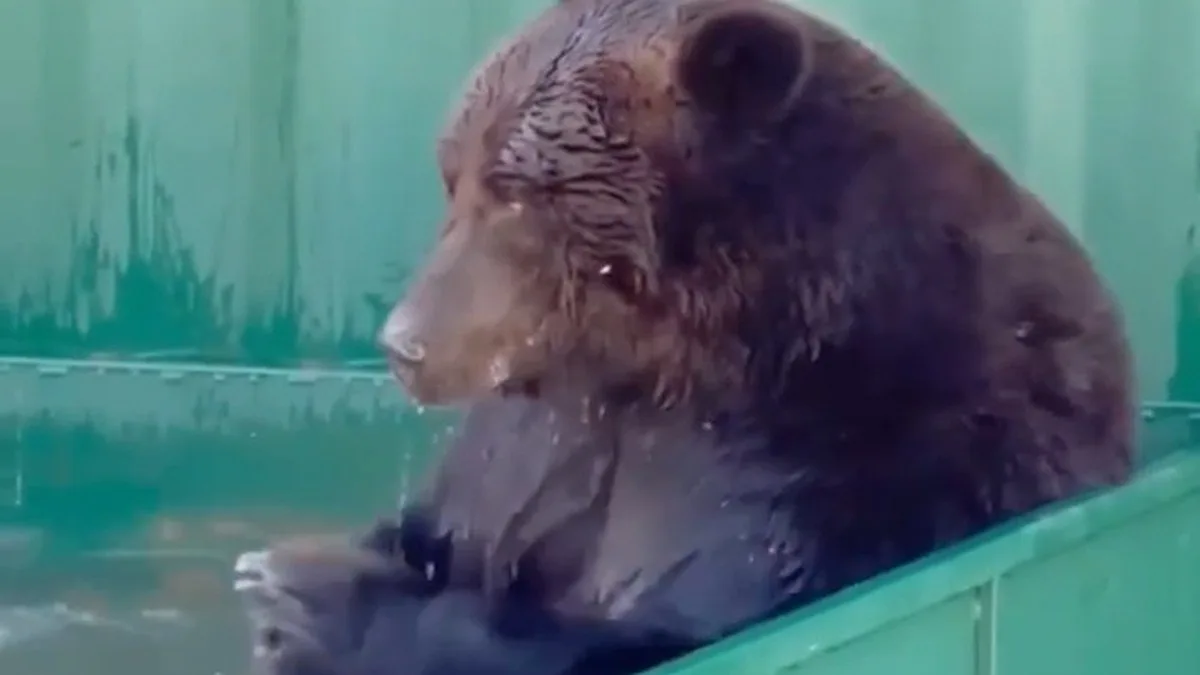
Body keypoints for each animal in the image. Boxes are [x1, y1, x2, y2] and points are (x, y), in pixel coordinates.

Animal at [366, 0, 1135, 669]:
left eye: (518, 195)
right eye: (452, 175)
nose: (405, 344)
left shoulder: (829, 465)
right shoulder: (546, 437)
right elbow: (446, 530)